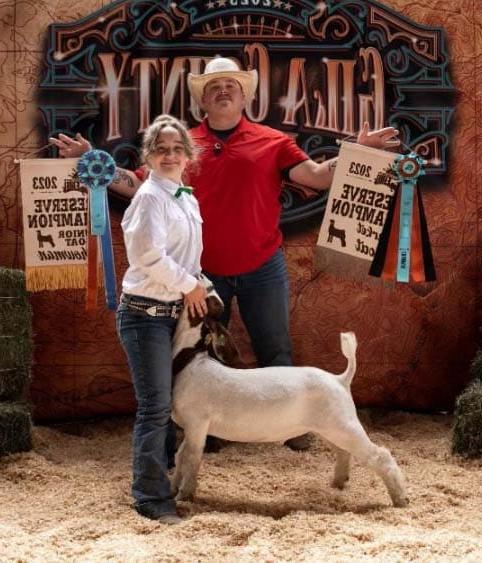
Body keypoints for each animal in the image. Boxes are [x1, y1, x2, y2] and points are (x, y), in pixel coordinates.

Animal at [171, 284, 408, 508]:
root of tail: (340, 379)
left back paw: (400, 500)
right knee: (343, 452)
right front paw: (174, 489)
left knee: (381, 455)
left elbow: (191, 459)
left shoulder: (197, 423)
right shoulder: (189, 427)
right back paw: (338, 482)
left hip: (344, 425)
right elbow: (180, 456)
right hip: (329, 427)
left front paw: (184, 495)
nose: (207, 289)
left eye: (207, 305)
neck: (189, 362)